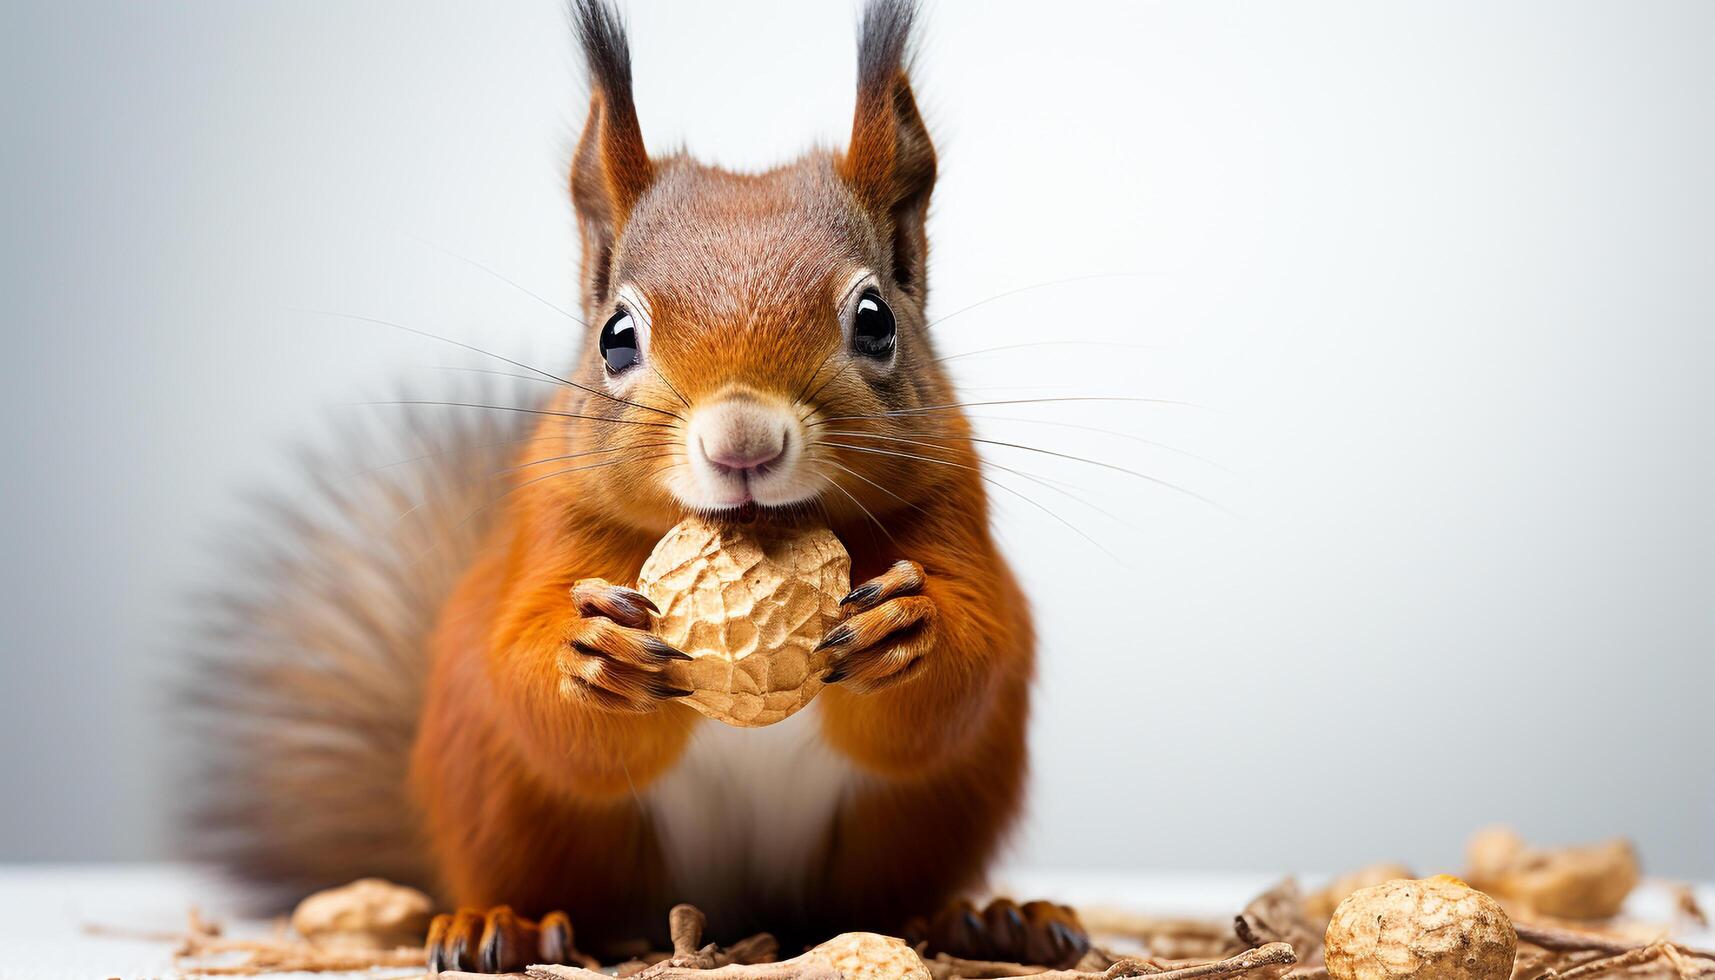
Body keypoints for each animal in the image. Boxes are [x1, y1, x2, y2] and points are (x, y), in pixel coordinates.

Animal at [184, 0, 1070, 974]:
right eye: (615, 337)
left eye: (875, 321)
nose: (742, 442)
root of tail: (734, 915)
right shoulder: (552, 526)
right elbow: (526, 669)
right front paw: (589, 653)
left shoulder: (951, 504)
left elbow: (970, 657)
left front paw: (908, 626)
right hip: (514, 810)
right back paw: (499, 926)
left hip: (914, 829)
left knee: (893, 899)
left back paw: (991, 921)